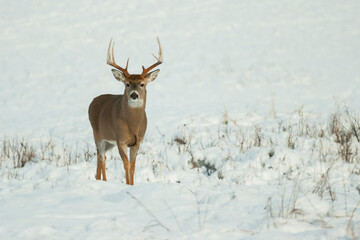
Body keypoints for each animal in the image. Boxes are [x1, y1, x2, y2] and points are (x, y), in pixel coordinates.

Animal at [88, 37, 163, 185]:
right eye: (127, 84)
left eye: (142, 84)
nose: (134, 95)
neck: (133, 124)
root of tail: (92, 101)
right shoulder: (121, 139)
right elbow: (126, 164)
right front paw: (128, 185)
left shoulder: (138, 141)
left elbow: (133, 166)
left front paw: (132, 184)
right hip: (97, 135)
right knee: (101, 157)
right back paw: (102, 180)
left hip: (108, 142)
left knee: (101, 157)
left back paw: (100, 179)